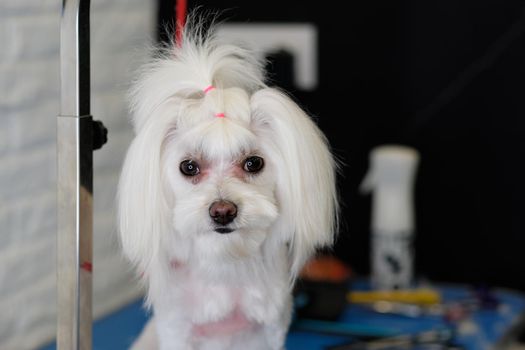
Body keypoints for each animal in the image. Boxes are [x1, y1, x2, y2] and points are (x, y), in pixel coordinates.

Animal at [118, 18, 338, 350]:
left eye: (254, 163)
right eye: (189, 167)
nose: (222, 211)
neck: (224, 261)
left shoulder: (271, 327)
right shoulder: (176, 328)